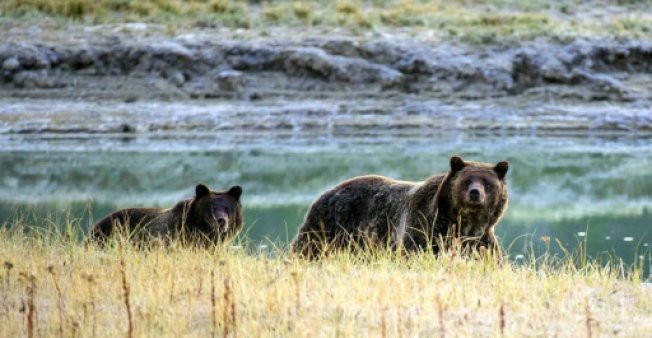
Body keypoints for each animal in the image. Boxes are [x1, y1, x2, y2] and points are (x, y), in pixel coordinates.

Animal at [290, 156, 510, 258]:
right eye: (467, 180)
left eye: (486, 182)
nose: (475, 193)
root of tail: (325, 192)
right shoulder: (424, 227)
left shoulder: (481, 240)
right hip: (330, 225)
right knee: (307, 248)